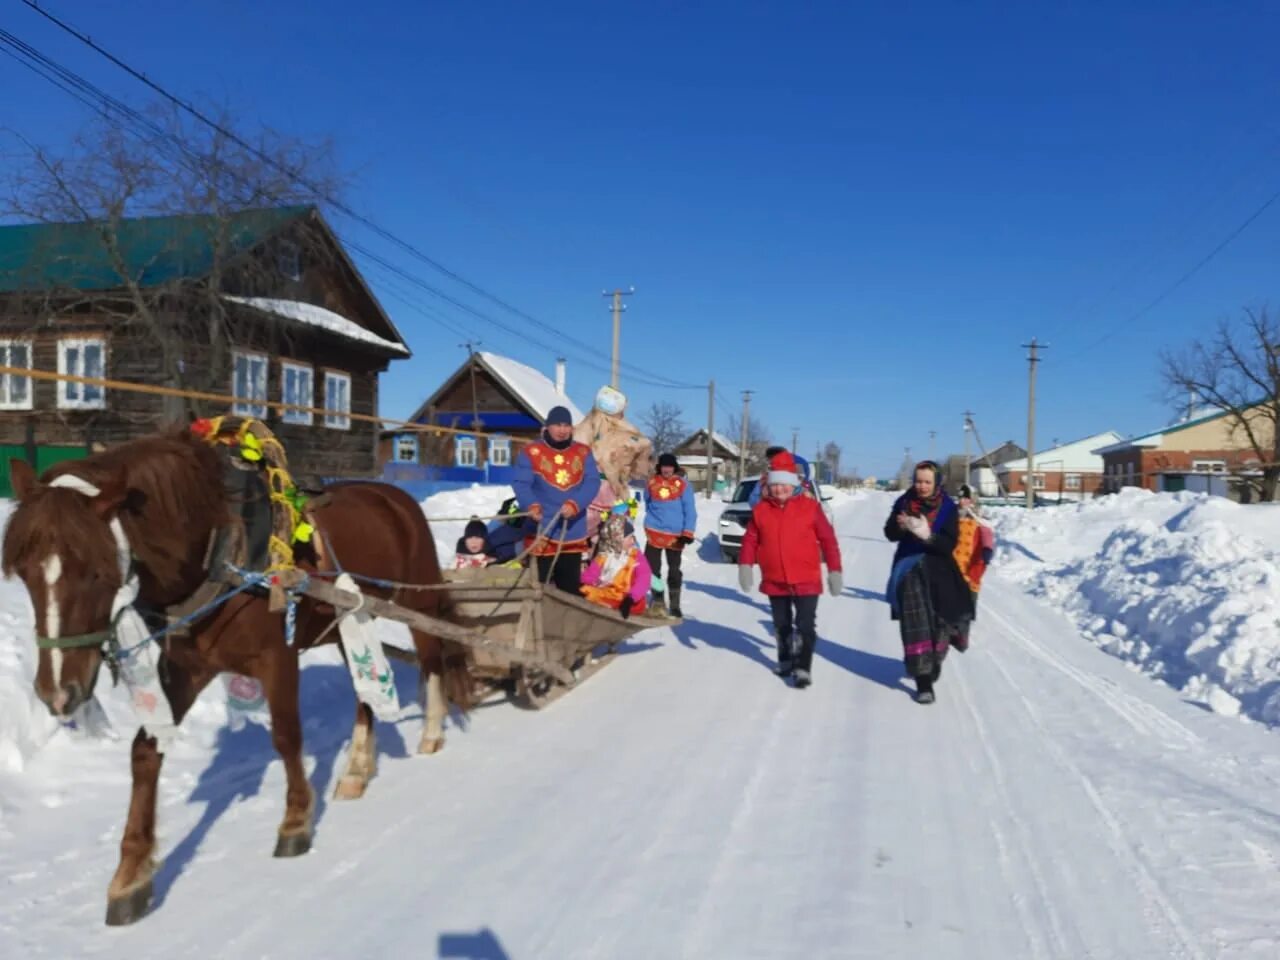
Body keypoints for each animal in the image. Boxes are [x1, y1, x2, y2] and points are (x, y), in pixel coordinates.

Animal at [1, 432, 471, 926]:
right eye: (25, 573)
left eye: (98, 570)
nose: (57, 692)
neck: (219, 552)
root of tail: (395, 497)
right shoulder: (186, 665)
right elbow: (144, 753)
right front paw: (130, 875)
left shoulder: (277, 657)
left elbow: (286, 737)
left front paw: (295, 821)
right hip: (345, 618)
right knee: (365, 689)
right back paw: (357, 769)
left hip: (416, 599)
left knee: (432, 658)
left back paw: (432, 732)